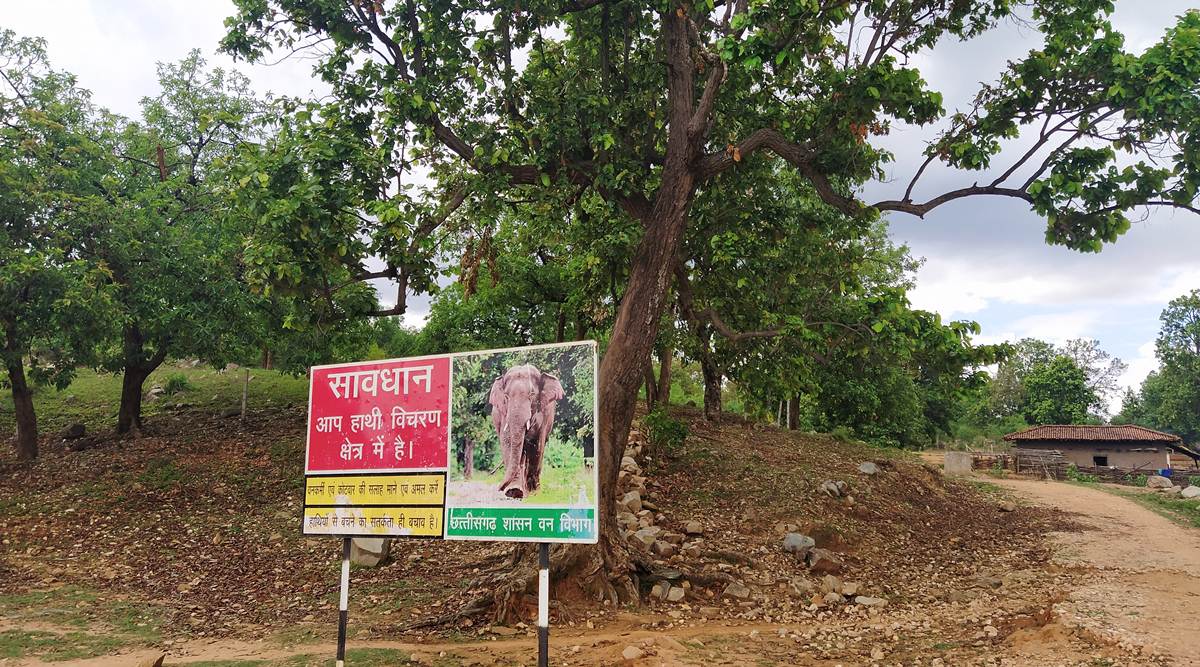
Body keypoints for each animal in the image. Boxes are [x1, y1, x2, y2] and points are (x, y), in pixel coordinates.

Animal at [487, 362, 561, 496]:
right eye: (506, 396)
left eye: (531, 395)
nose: (498, 488)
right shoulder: (504, 412)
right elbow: (507, 441)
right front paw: (514, 491)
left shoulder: (544, 413)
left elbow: (537, 445)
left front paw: (534, 493)